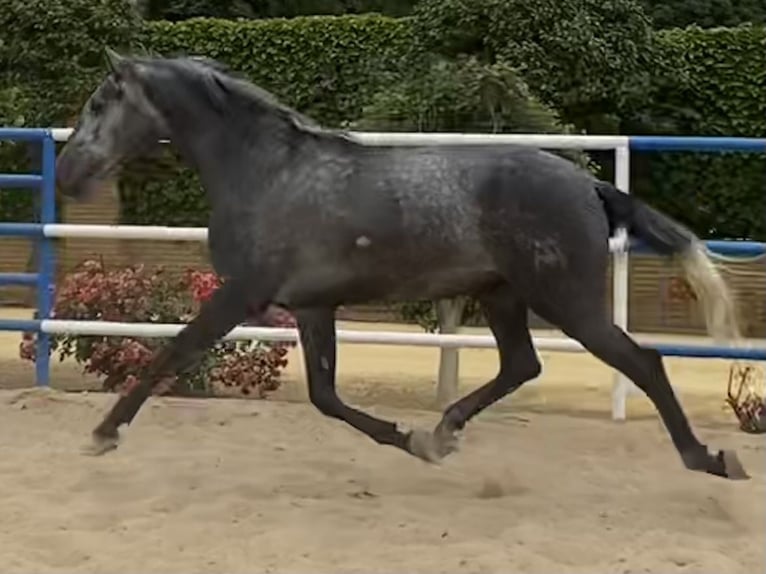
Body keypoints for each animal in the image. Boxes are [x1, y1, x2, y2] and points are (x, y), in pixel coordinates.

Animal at [57, 49, 752, 482]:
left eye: (98, 104)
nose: (65, 173)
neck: (266, 172)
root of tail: (589, 186)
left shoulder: (242, 293)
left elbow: (172, 352)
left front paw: (101, 434)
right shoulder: (312, 306)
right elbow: (326, 397)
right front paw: (412, 440)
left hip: (568, 300)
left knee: (642, 361)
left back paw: (710, 459)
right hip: (502, 294)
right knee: (522, 364)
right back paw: (443, 431)